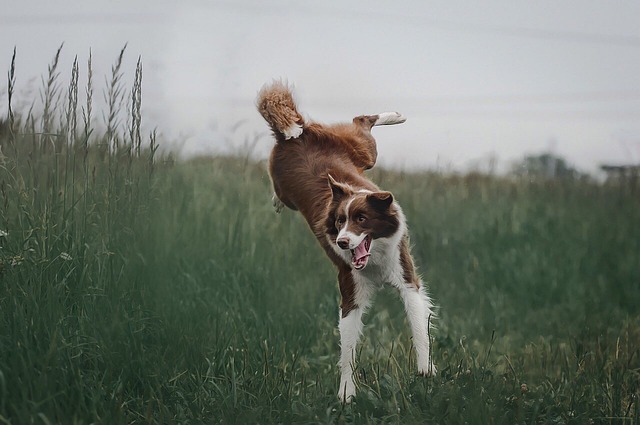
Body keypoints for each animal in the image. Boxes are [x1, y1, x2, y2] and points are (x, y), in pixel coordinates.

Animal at [255, 82, 436, 400]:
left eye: (361, 219)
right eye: (339, 221)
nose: (341, 242)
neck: (375, 259)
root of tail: (294, 135)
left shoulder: (406, 277)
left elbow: (418, 326)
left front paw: (426, 369)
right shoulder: (350, 290)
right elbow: (348, 349)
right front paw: (346, 394)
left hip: (363, 152)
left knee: (362, 122)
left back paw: (395, 115)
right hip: (297, 179)